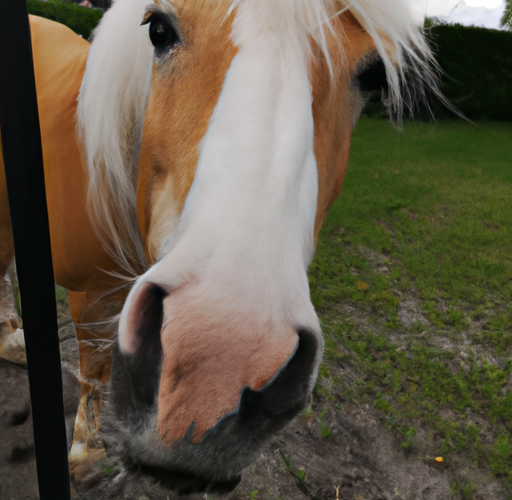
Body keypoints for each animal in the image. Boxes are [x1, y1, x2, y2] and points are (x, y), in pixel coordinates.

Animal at [0, 0, 438, 492]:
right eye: (158, 28)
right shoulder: (89, 295)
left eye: (373, 74)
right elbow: (94, 372)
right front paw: (84, 459)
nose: (210, 382)